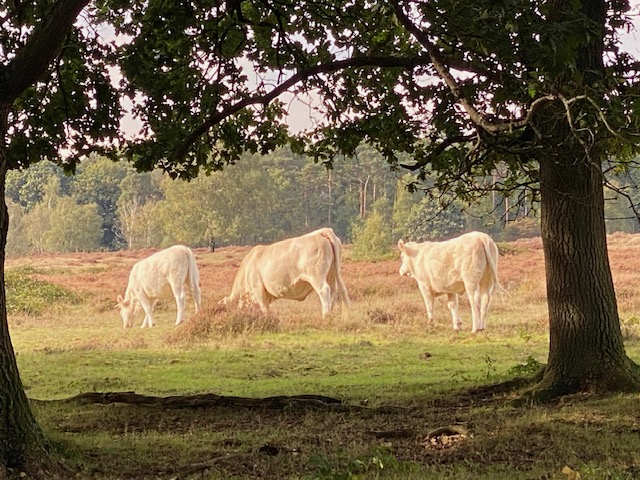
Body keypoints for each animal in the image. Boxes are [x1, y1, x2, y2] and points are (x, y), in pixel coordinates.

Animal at [220, 227, 350, 316]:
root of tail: (323, 231)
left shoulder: (257, 288)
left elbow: (264, 308)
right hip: (332, 274)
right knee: (334, 292)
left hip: (316, 275)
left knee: (324, 290)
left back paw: (325, 315)